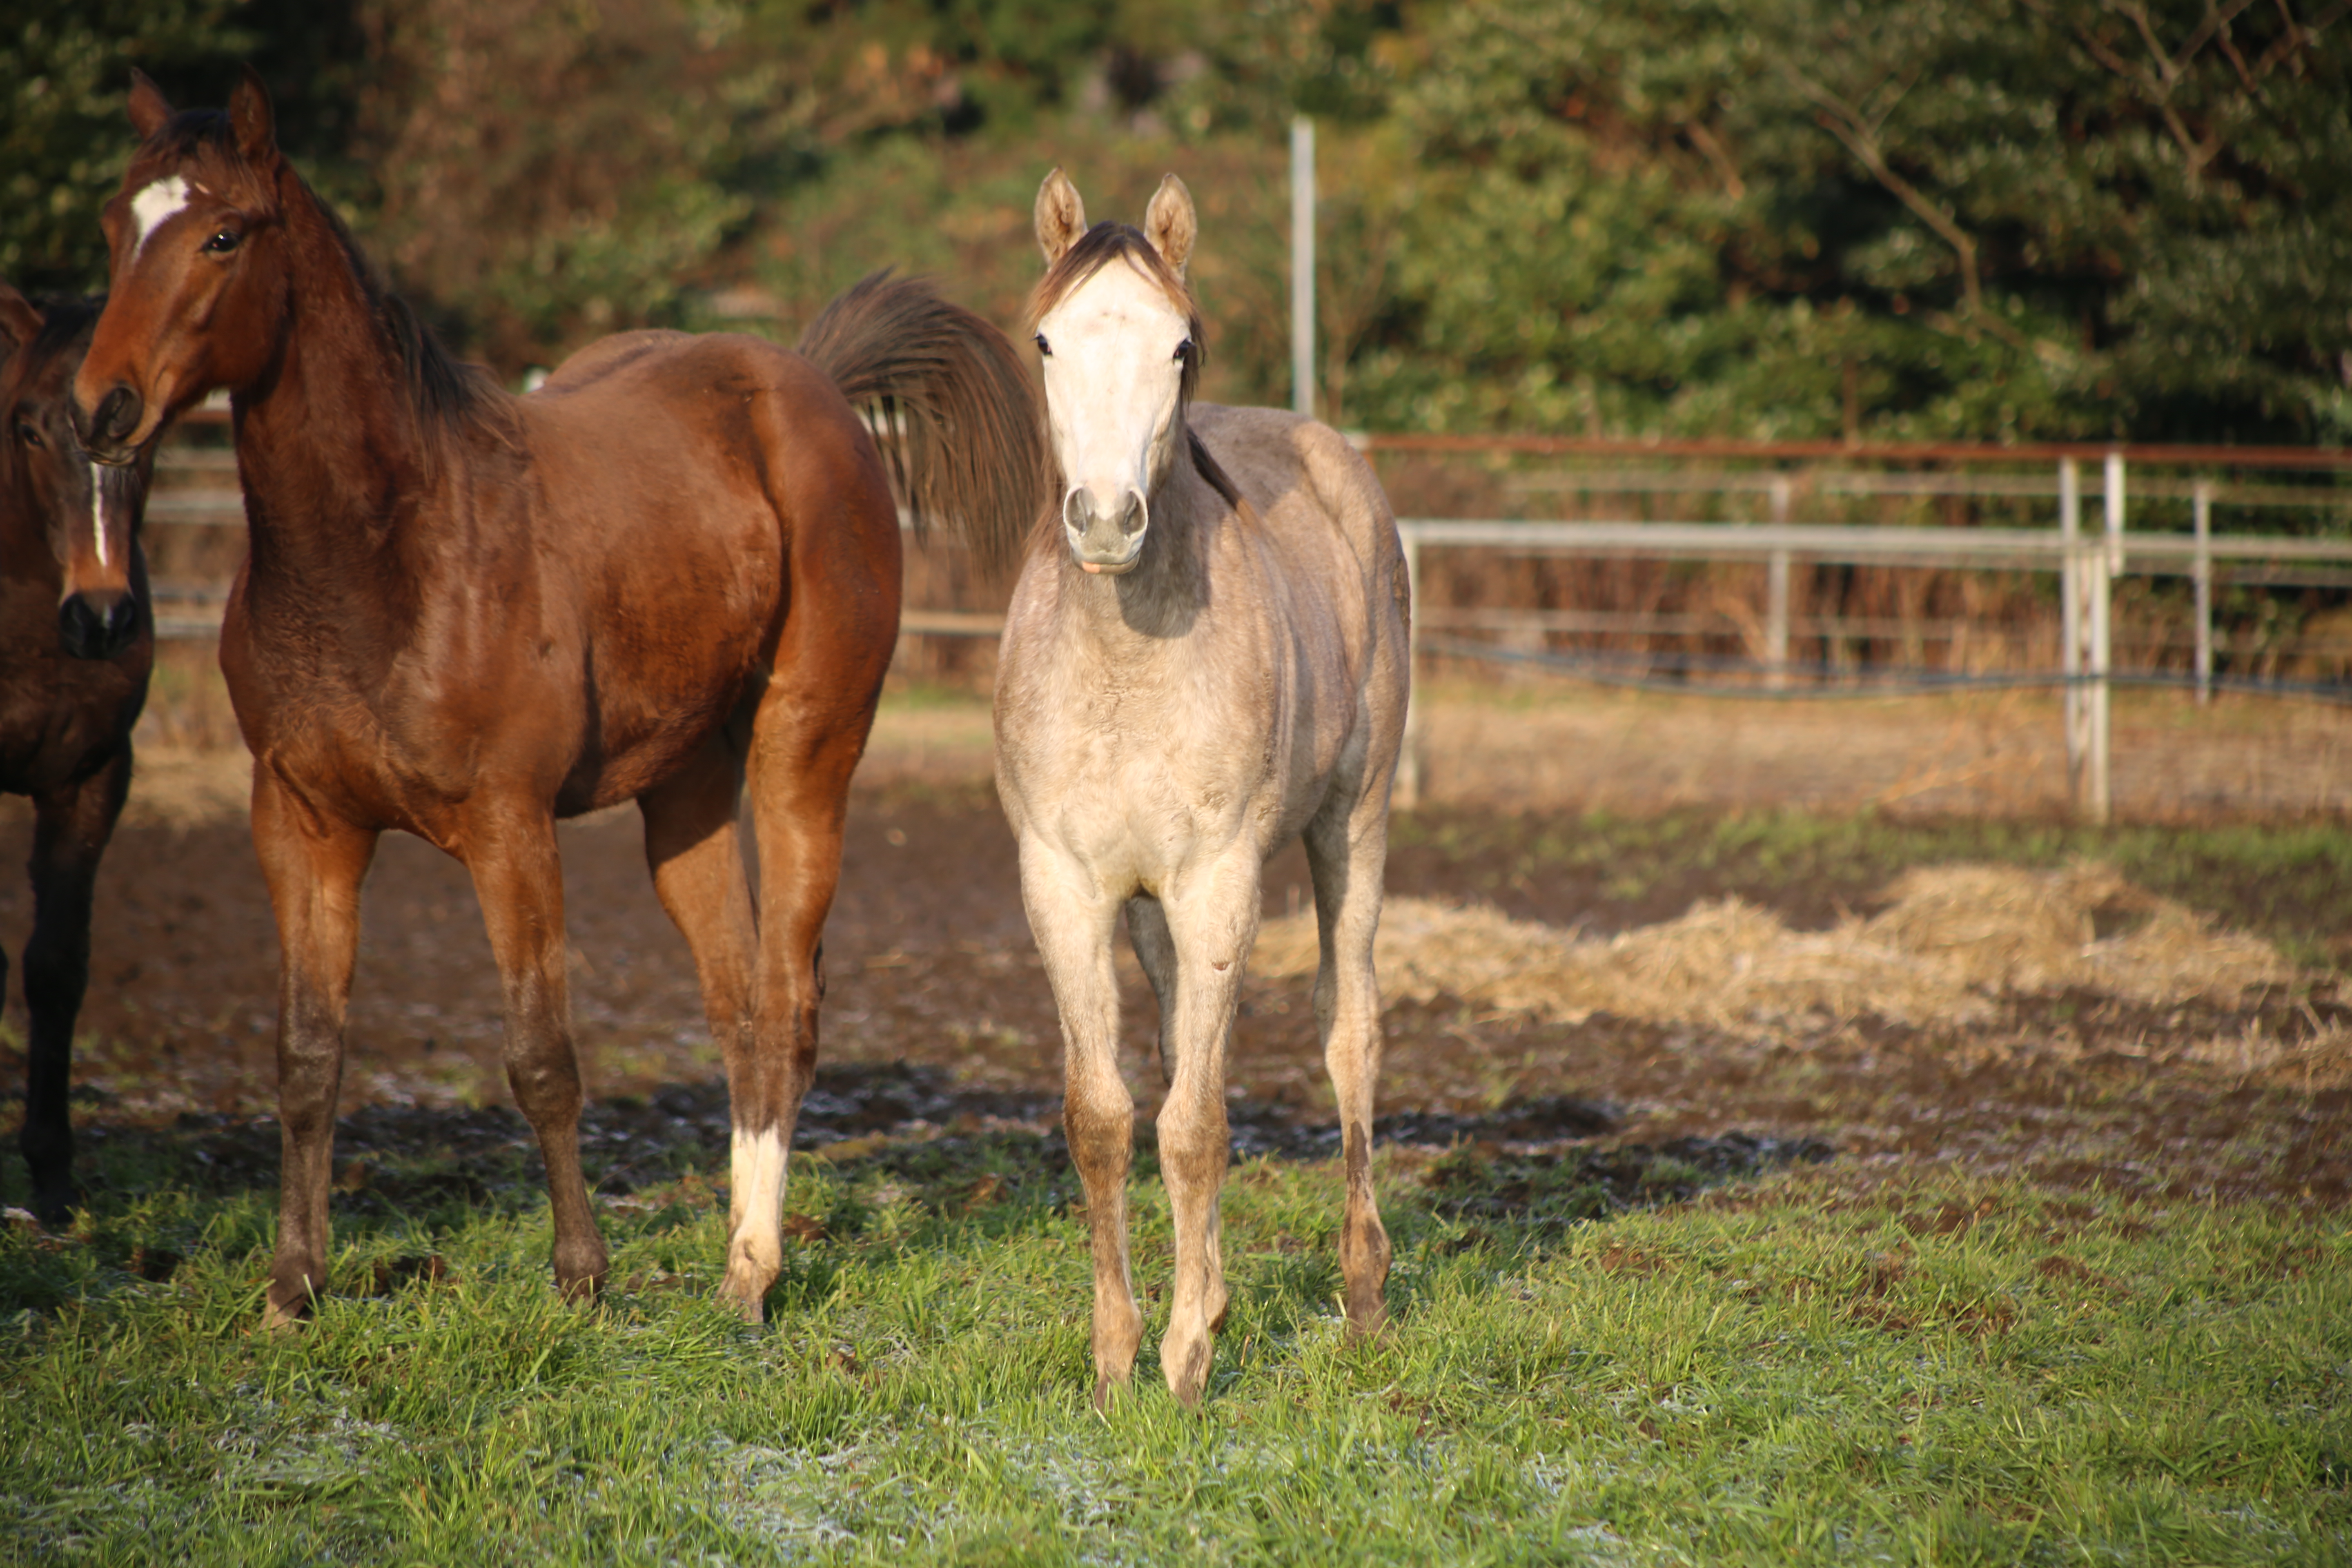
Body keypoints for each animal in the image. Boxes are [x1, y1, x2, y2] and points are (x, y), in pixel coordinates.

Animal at [69, 73, 1044, 1326]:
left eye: (224, 235)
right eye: (115, 224)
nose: (102, 407)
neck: (388, 554)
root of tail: (811, 382)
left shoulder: (508, 827)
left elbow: (542, 1056)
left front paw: (581, 1275)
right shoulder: (302, 823)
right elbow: (306, 1056)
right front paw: (293, 1286)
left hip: (804, 760)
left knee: (786, 1003)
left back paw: (755, 1271)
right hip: (683, 796)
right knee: (737, 1005)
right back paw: (736, 1260)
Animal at [997, 175, 1411, 1410]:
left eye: (1179, 346)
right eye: (1045, 340)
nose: (1104, 519)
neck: (1125, 666)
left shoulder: (1221, 882)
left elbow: (1196, 1129)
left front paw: (1183, 1362)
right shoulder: (1067, 889)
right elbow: (1106, 1117)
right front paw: (1117, 1357)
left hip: (1352, 826)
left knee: (1347, 1029)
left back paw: (1362, 1295)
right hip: (1152, 914)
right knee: (1184, 1047)